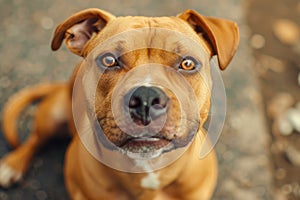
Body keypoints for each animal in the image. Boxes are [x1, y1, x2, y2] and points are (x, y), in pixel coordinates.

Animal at [0, 8, 239, 199]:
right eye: (109, 60)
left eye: (188, 63)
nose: (145, 98)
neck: (147, 170)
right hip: (53, 114)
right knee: (35, 138)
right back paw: (12, 165)